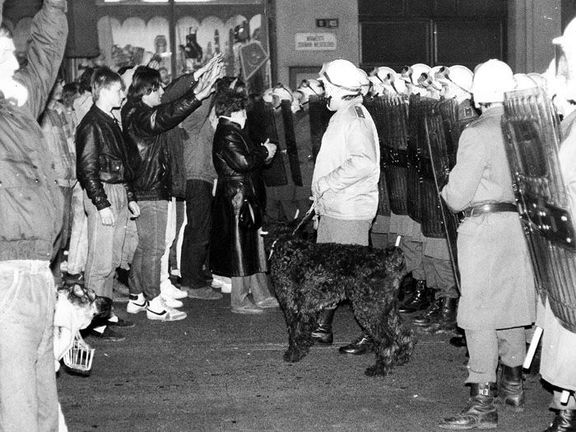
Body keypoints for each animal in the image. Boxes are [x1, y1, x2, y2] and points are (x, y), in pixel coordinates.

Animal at [268, 230, 416, 378]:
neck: (288, 251)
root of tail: (386, 257)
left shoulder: (293, 307)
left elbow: (294, 332)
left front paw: (293, 354)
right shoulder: (305, 310)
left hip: (369, 308)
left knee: (388, 341)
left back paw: (380, 369)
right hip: (386, 309)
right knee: (404, 333)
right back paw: (401, 358)